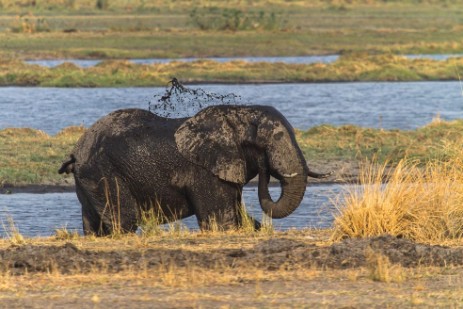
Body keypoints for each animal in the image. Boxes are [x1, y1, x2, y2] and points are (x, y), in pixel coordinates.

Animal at [59, 104, 330, 235]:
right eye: (270, 142)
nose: (266, 167)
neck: (237, 115)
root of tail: (76, 152)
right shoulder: (205, 171)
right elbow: (221, 222)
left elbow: (239, 217)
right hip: (102, 171)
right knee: (124, 219)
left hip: (89, 178)